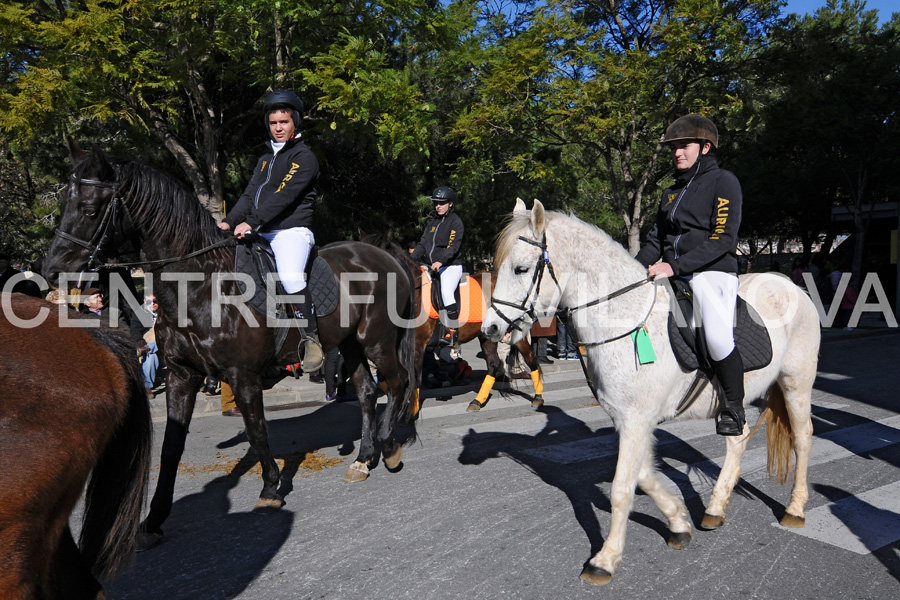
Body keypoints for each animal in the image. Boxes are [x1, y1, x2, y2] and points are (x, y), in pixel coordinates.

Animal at [43, 141, 418, 548]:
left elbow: (257, 431)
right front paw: (154, 518)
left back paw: (389, 448)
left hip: (377, 340)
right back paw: (363, 459)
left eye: (89, 209)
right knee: (366, 392)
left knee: (397, 383)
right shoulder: (182, 376)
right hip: (350, 345)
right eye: (63, 203)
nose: (51, 269)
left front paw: (270, 489)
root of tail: (381, 252)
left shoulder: (243, 376)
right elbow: (172, 445)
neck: (202, 285)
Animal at [362, 232, 544, 414]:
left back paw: (538, 398)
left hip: (515, 332)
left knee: (530, 358)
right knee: (494, 364)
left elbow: (414, 377)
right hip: (486, 334)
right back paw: (477, 401)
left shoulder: (417, 344)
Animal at [486, 199, 824, 588]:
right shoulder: (631, 421)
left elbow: (622, 488)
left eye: (521, 269)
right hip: (739, 400)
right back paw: (714, 508)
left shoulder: (636, 420)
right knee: (737, 439)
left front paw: (605, 559)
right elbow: (645, 477)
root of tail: (790, 285)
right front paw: (678, 522)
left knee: (803, 437)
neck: (625, 317)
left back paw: (795, 509)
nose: (490, 328)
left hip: (796, 382)